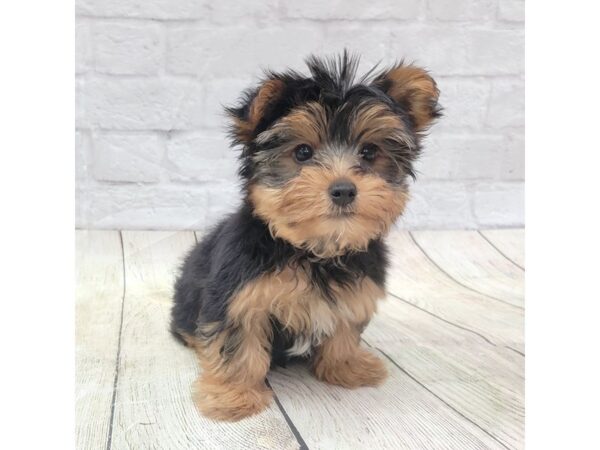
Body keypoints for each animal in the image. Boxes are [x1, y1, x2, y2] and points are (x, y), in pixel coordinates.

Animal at [170, 52, 440, 422]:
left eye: (369, 152)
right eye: (302, 153)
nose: (343, 189)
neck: (314, 251)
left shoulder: (354, 293)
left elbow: (344, 332)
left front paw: (346, 367)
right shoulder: (238, 297)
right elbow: (238, 348)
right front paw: (233, 397)